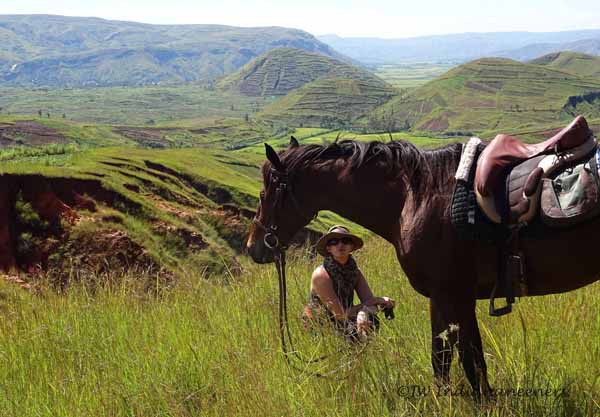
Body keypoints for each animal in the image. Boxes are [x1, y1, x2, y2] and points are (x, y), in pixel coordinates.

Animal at [244, 128, 600, 394]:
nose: (254, 247)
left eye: (264, 193)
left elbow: (471, 361)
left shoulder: (456, 295)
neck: (415, 198)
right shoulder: (441, 297)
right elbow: (440, 358)